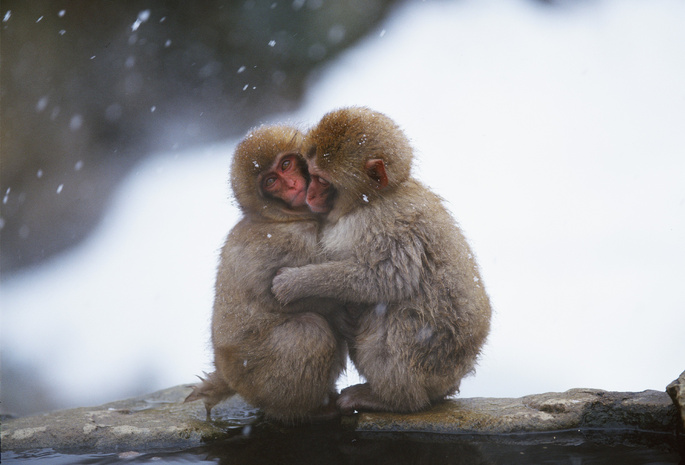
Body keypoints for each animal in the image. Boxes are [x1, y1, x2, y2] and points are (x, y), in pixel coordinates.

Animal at [186, 125, 344, 422]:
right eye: (271, 181)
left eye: (286, 165)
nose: (292, 185)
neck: (279, 217)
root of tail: (226, 374)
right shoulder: (291, 241)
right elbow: (294, 296)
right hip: (258, 375)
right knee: (309, 332)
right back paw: (309, 410)